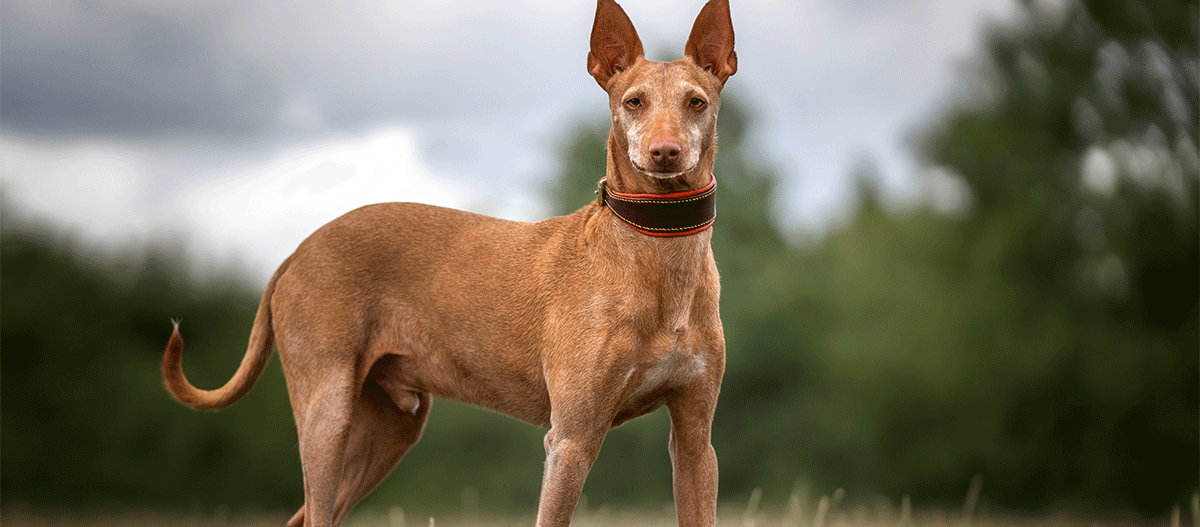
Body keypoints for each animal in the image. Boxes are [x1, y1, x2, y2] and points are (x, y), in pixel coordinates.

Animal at [164, 2, 734, 525]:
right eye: (633, 101)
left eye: (696, 102)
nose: (665, 151)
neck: (656, 256)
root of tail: (298, 250)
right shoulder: (571, 438)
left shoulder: (695, 442)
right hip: (327, 418)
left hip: (387, 430)